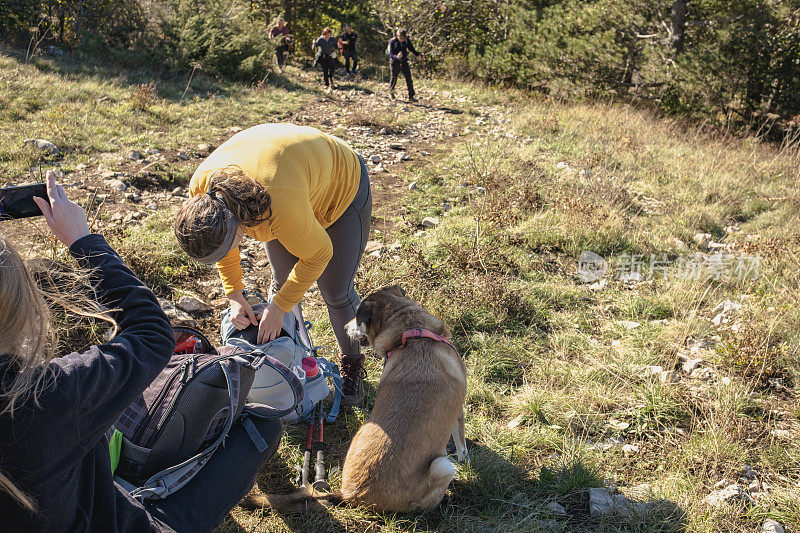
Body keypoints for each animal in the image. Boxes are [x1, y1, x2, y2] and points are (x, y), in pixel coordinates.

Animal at [244, 284, 468, 512]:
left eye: (359, 320)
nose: (343, 328)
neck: (412, 332)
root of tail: (350, 495)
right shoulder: (459, 411)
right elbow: (461, 444)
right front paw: (464, 460)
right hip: (441, 467)